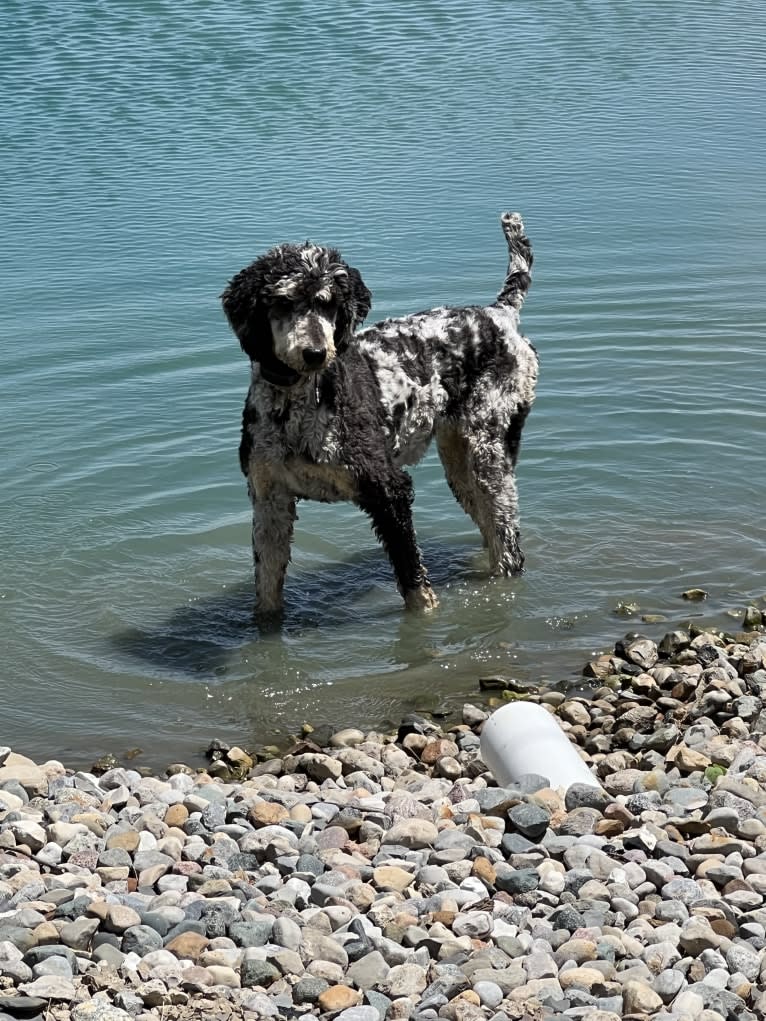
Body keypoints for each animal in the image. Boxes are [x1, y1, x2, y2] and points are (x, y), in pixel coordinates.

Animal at [218, 214, 535, 612]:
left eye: (329, 304)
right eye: (284, 302)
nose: (315, 353)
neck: (295, 410)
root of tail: (499, 314)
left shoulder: (390, 490)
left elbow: (414, 582)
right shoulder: (269, 502)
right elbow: (267, 592)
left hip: (489, 456)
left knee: (509, 548)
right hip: (460, 464)